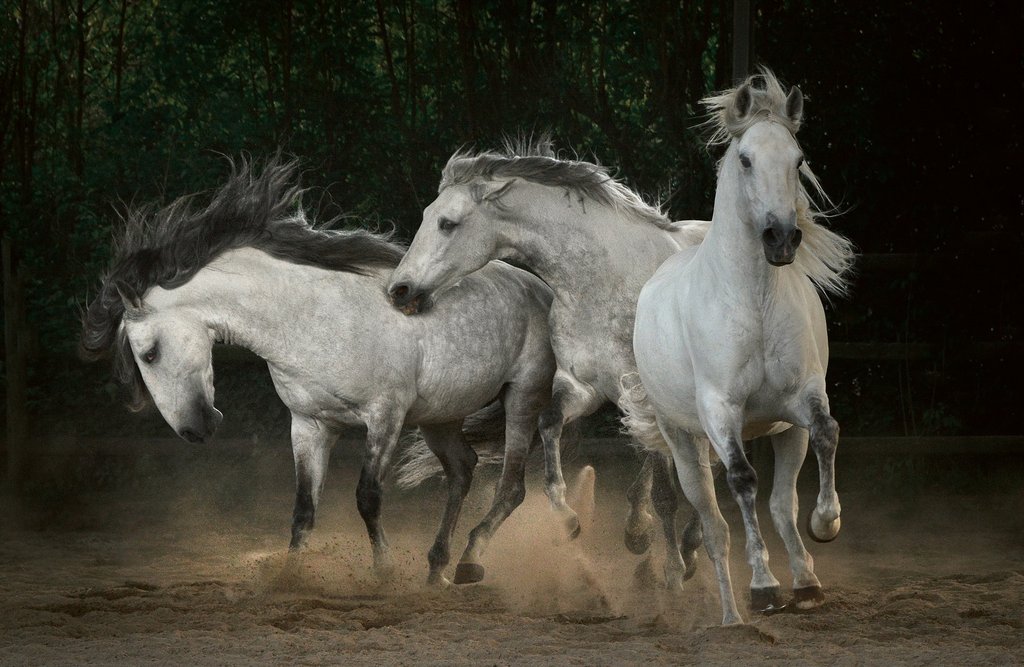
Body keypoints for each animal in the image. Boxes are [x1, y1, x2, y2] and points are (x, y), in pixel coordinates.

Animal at [79, 158, 556, 586]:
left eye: (149, 353)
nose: (195, 430)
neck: (310, 318)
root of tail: (542, 290)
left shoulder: (385, 416)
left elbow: (367, 497)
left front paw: (384, 573)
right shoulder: (310, 425)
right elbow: (304, 509)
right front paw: (291, 576)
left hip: (522, 396)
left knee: (511, 486)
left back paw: (468, 564)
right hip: (441, 417)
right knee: (462, 470)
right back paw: (437, 567)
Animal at [386, 137, 711, 588]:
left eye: (447, 223)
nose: (399, 290)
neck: (603, 280)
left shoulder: (647, 396)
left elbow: (667, 489)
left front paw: (674, 572)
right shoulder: (582, 386)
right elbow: (550, 424)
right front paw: (568, 518)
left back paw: (683, 547)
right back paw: (644, 534)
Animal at [622, 70, 855, 625]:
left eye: (798, 160)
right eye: (745, 159)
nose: (781, 238)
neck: (754, 302)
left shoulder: (802, 398)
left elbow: (828, 433)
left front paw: (826, 524)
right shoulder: (721, 411)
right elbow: (743, 481)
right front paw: (764, 588)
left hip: (781, 432)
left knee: (780, 505)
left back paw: (806, 582)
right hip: (684, 443)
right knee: (712, 525)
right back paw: (730, 613)